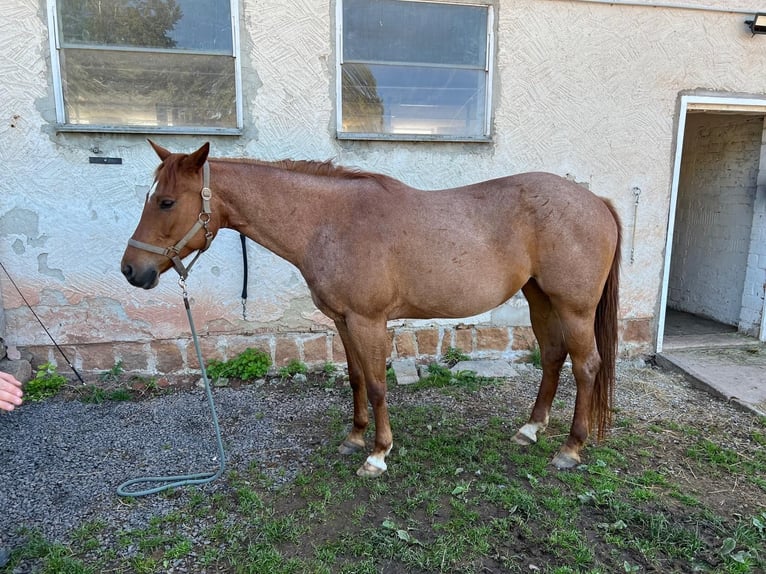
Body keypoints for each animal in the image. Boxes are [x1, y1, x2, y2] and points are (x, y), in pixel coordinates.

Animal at [121, 141, 621, 477]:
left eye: (166, 201)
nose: (131, 270)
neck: (329, 222)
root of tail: (595, 201)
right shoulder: (343, 320)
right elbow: (357, 378)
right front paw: (354, 437)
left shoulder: (369, 321)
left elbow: (379, 385)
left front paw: (378, 454)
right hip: (540, 298)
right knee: (553, 357)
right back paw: (531, 429)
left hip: (574, 308)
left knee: (586, 366)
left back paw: (569, 449)